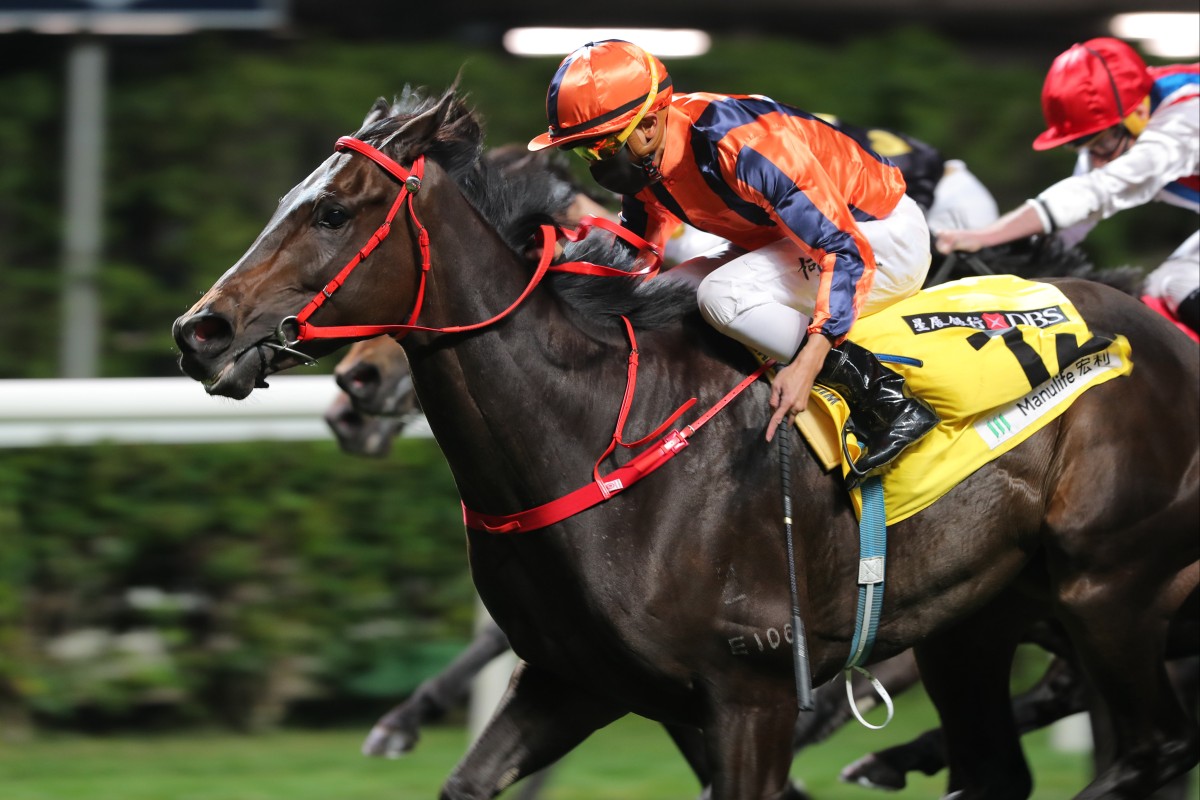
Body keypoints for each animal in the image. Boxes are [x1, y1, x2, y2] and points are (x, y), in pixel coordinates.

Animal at [171, 89, 1200, 800]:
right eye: (289, 199)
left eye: (332, 212)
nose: (200, 331)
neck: (597, 432)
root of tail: (1170, 341)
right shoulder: (572, 681)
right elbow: (472, 772)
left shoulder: (752, 695)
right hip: (976, 620)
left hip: (1107, 587)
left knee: (1152, 747)